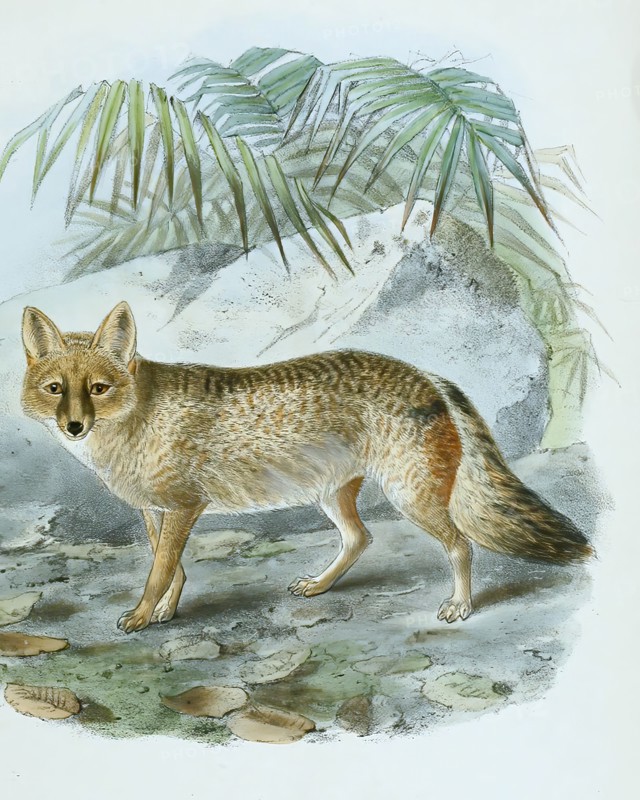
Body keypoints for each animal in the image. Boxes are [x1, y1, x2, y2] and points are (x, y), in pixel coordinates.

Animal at [20, 301, 593, 633]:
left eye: (98, 388)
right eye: (55, 389)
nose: (74, 426)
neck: (136, 420)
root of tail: (426, 375)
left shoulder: (184, 507)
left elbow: (159, 570)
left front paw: (142, 615)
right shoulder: (155, 511)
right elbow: (170, 567)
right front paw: (164, 611)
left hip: (410, 499)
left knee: (460, 545)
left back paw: (460, 605)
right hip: (333, 497)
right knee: (360, 538)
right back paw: (319, 585)